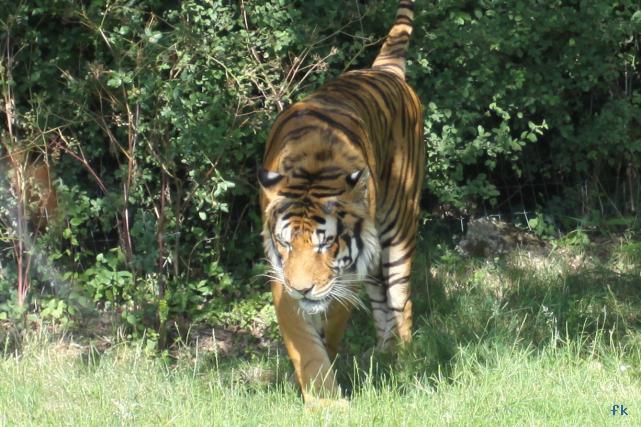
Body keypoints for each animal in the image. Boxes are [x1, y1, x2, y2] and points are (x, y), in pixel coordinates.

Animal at [258, 0, 423, 402]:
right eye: (286, 243)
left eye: (325, 244)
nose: (303, 288)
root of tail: (383, 71)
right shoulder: (281, 274)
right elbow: (304, 340)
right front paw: (321, 393)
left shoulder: (344, 276)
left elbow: (331, 324)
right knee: (381, 302)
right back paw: (385, 352)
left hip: (398, 230)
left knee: (400, 298)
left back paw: (406, 359)